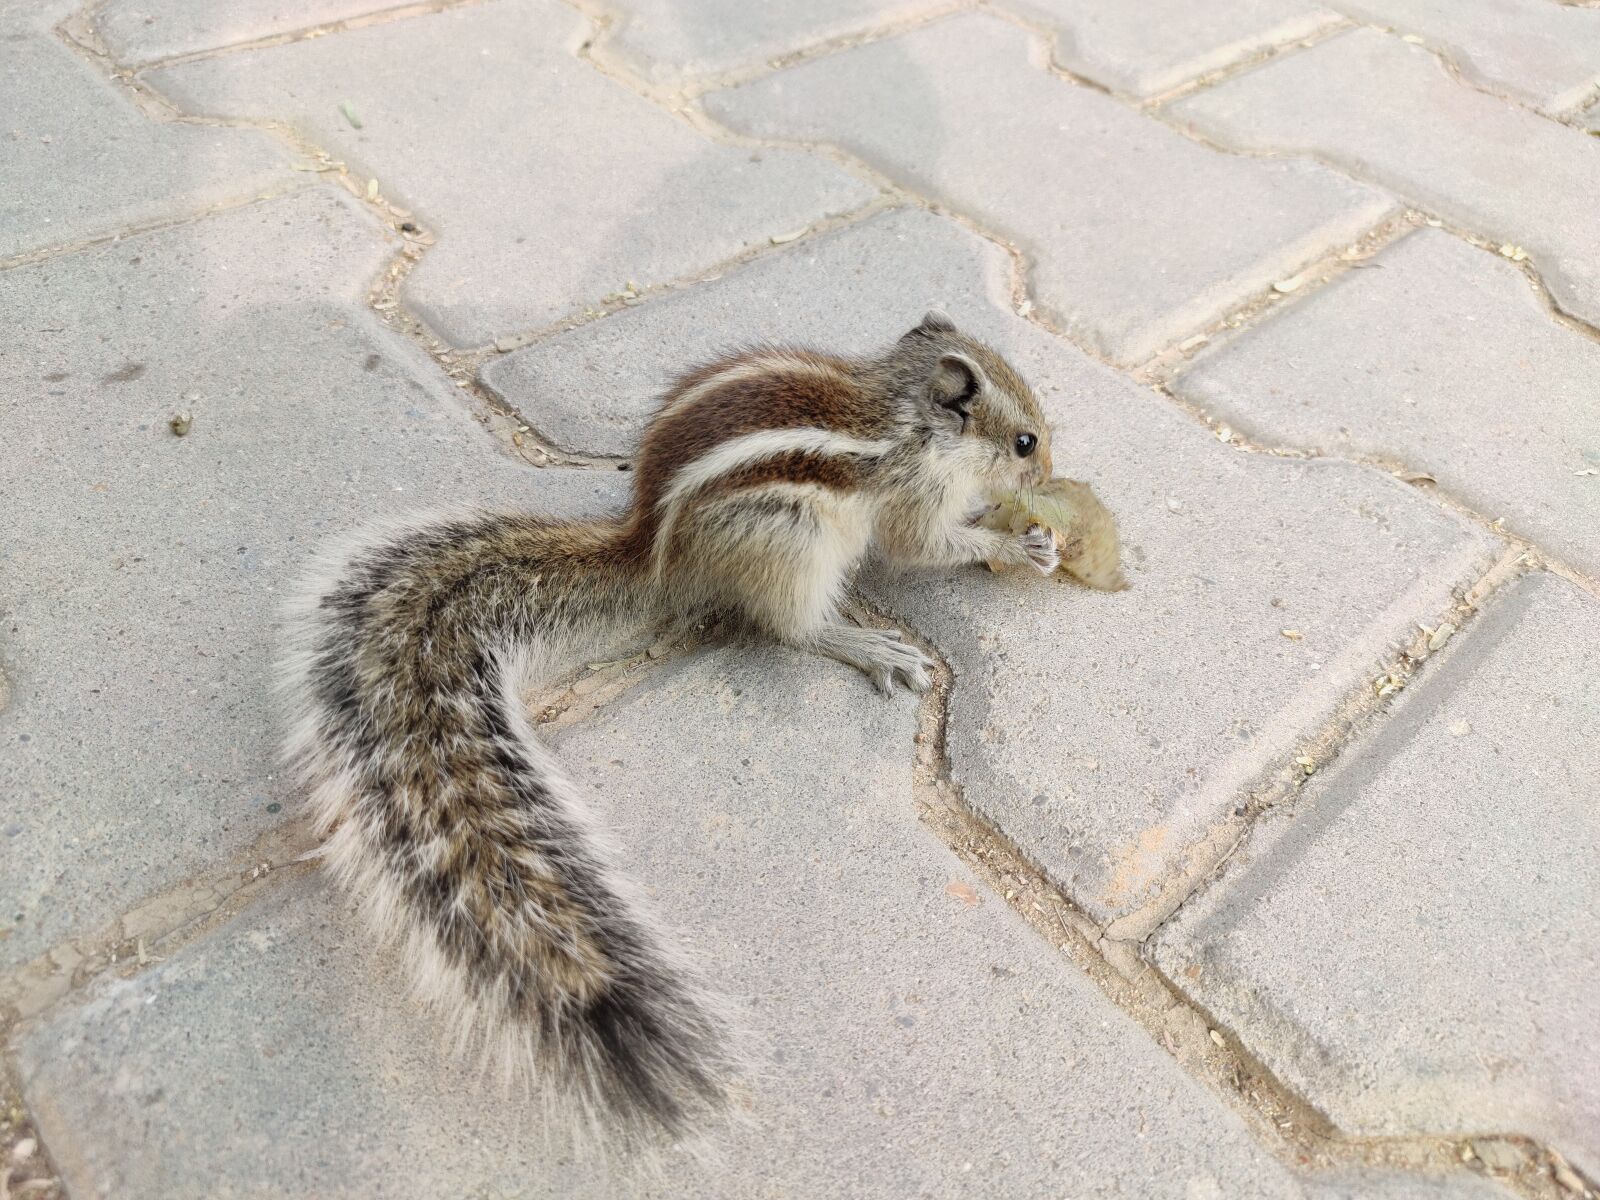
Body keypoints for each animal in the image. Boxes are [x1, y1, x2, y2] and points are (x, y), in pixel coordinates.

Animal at [279, 311, 1058, 1147]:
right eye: (1024, 443)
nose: (1049, 477)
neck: (908, 415)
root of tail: (651, 547)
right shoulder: (913, 495)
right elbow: (925, 544)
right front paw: (1014, 541)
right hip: (792, 539)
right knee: (793, 627)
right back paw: (864, 644)